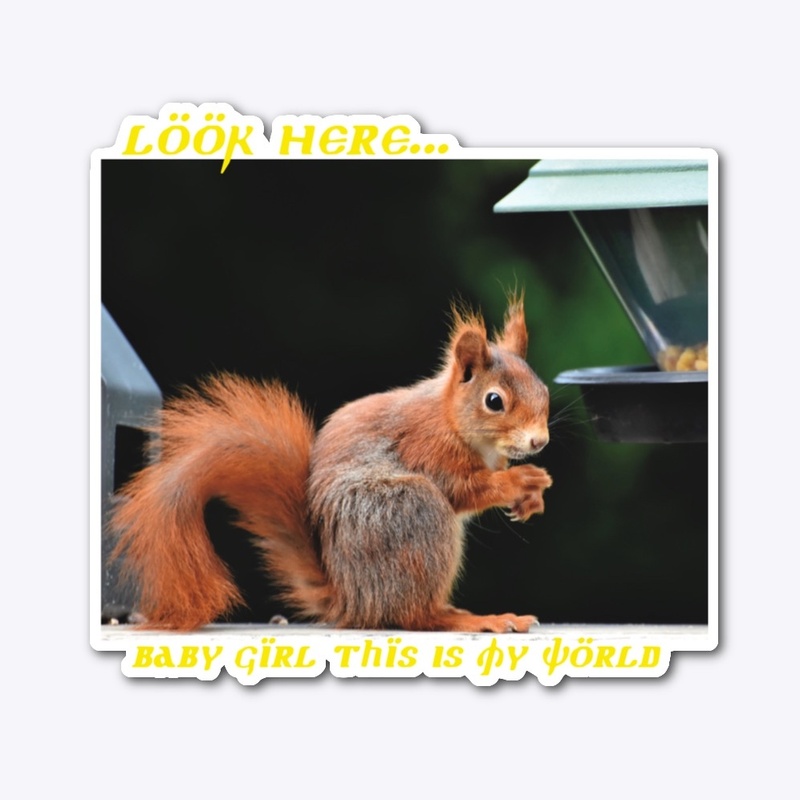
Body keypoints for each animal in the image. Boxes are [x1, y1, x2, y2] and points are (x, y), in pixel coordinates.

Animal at [109, 298, 553, 633]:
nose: (540, 442)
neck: (453, 421)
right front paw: (521, 480)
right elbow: (464, 489)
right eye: (494, 401)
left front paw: (531, 501)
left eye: (544, 390)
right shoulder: (427, 448)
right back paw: (472, 619)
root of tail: (352, 602)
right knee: (414, 616)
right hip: (411, 510)